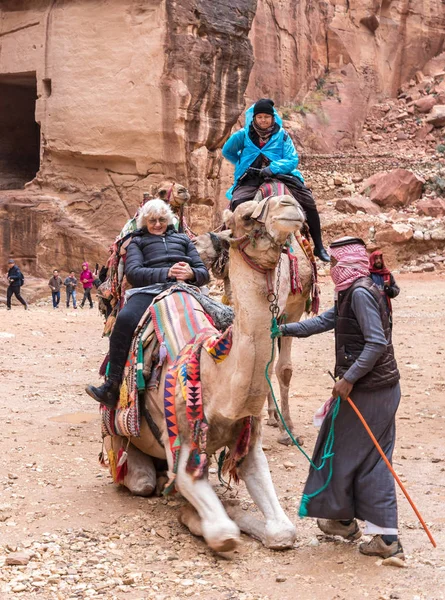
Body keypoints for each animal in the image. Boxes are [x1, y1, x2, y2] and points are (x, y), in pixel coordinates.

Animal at [103, 195, 306, 552]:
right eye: (245, 215)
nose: (289, 203)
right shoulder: (182, 446)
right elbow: (223, 533)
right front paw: (194, 515)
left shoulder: (249, 445)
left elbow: (283, 531)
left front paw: (236, 508)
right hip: (118, 433)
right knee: (139, 478)